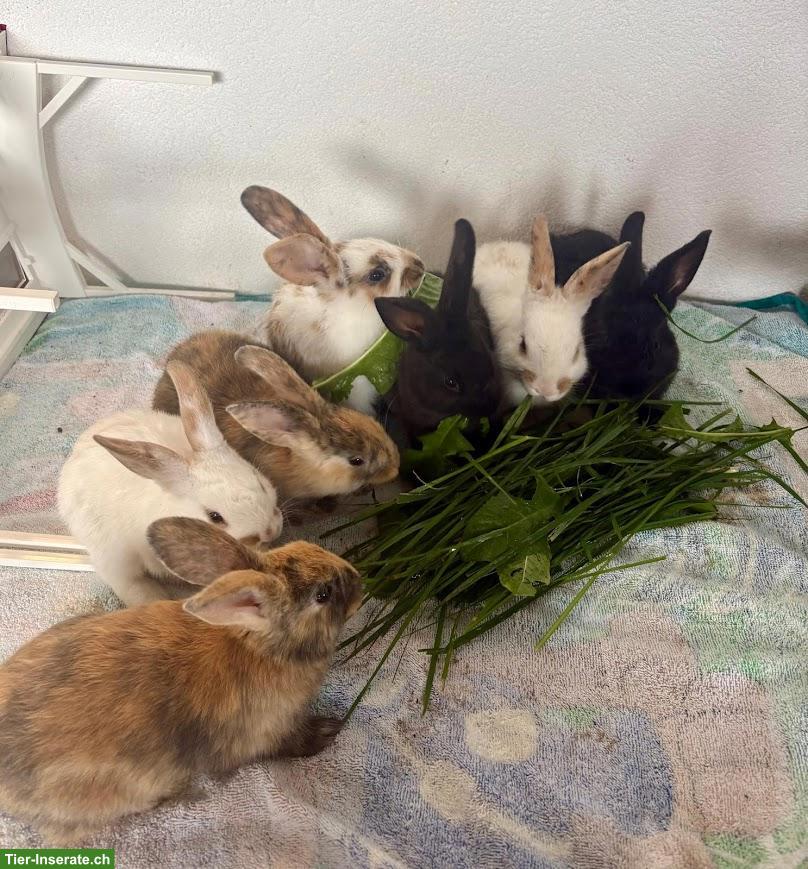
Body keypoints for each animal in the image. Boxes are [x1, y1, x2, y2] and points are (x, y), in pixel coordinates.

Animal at [0, 516, 362, 844]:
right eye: (323, 594)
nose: (359, 581)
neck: (262, 646)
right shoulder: (267, 732)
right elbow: (289, 744)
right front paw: (329, 730)